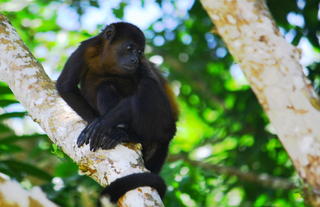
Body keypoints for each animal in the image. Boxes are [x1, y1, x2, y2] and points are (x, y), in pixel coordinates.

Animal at [56, 21, 179, 203]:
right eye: (129, 48)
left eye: (139, 52)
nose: (134, 59)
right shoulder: (86, 49)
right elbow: (66, 85)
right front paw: (94, 123)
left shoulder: (142, 65)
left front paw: (101, 125)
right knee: (106, 86)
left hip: (161, 129)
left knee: (147, 87)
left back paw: (128, 135)